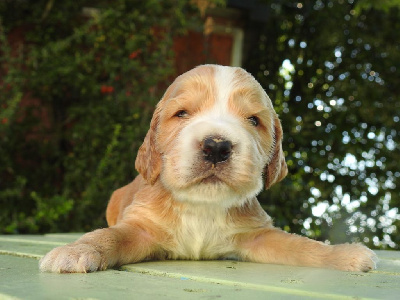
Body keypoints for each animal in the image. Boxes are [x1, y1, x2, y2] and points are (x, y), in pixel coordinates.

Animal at [39, 64, 376, 274]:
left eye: (254, 120)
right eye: (181, 113)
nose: (216, 146)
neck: (202, 205)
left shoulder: (256, 234)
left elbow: (300, 244)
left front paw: (343, 253)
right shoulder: (141, 229)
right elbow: (109, 236)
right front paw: (76, 251)